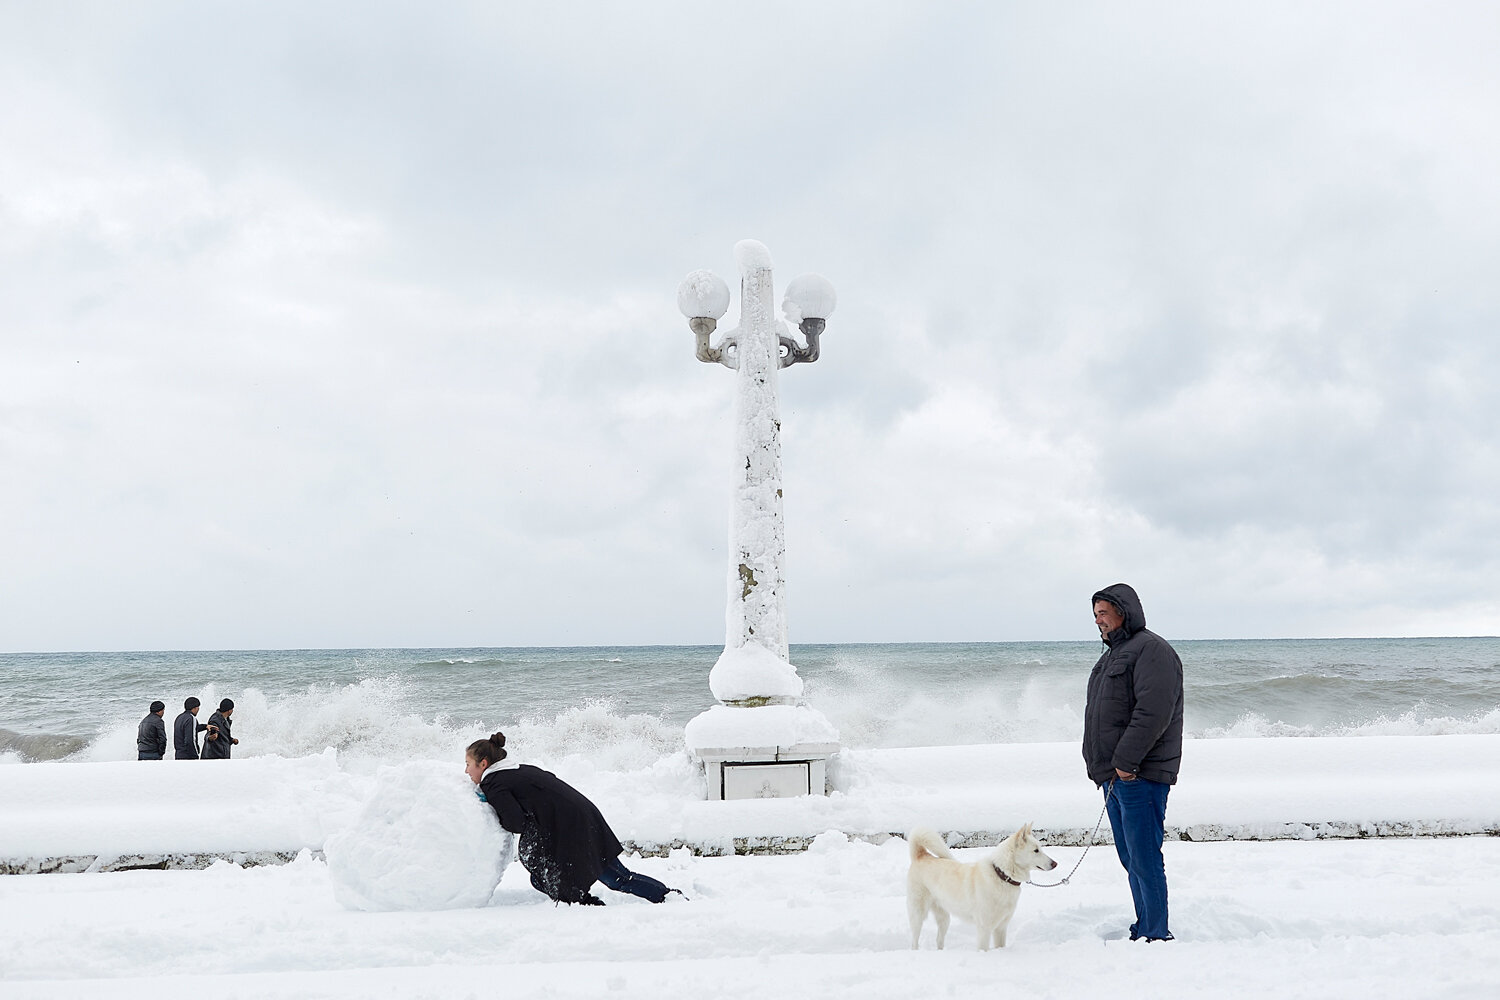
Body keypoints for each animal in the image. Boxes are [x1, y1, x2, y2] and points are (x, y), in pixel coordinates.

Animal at [900, 827, 1056, 953]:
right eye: (1036, 850)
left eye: (1040, 848)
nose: (1055, 863)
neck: (1002, 876)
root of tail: (921, 855)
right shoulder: (984, 928)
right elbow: (983, 948)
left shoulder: (1001, 928)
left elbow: (1000, 946)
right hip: (918, 915)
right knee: (914, 941)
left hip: (944, 918)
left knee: (939, 939)